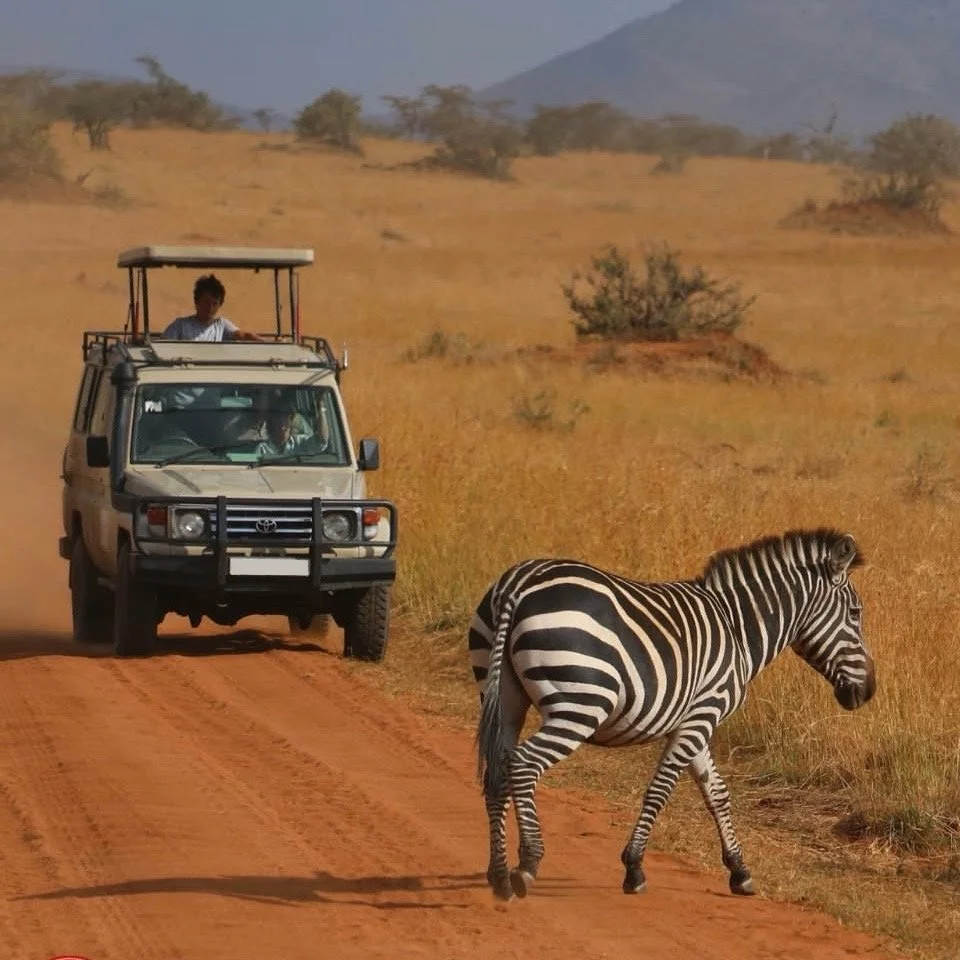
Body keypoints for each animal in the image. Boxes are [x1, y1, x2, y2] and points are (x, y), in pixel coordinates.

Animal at [467, 528, 876, 902]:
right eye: (856, 613)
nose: (868, 691)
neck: (738, 629)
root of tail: (520, 582)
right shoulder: (705, 711)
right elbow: (660, 790)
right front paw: (633, 867)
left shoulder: (694, 719)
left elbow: (717, 792)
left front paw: (740, 871)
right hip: (580, 705)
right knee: (523, 765)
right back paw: (528, 863)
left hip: (504, 695)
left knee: (496, 772)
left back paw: (498, 874)